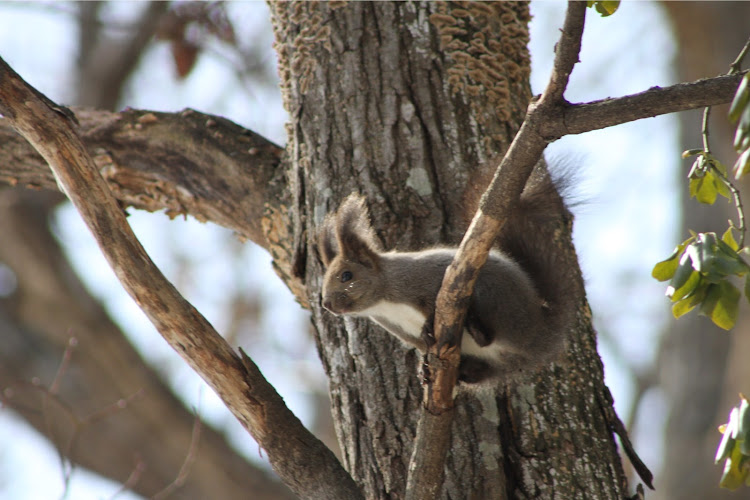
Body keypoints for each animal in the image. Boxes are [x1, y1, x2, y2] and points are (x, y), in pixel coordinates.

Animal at [318, 170, 580, 384]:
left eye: (346, 275)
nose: (327, 304)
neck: (384, 302)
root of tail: (540, 332)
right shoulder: (399, 328)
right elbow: (422, 345)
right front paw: (423, 367)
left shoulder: (423, 279)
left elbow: (434, 302)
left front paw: (428, 327)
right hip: (494, 363)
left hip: (496, 298)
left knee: (489, 334)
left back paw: (475, 325)